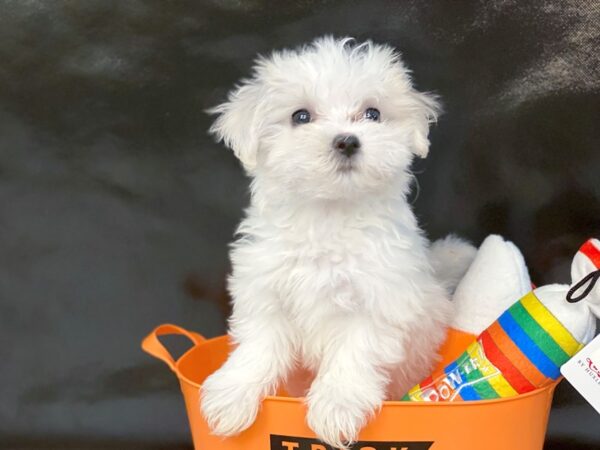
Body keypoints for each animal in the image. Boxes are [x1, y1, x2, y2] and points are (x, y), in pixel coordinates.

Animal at [202, 37, 464, 448]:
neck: (328, 215)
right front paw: (231, 394)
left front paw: (336, 407)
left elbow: (353, 353)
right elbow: (258, 345)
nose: (347, 141)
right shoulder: (265, 293)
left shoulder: (377, 302)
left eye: (372, 113)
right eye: (300, 116)